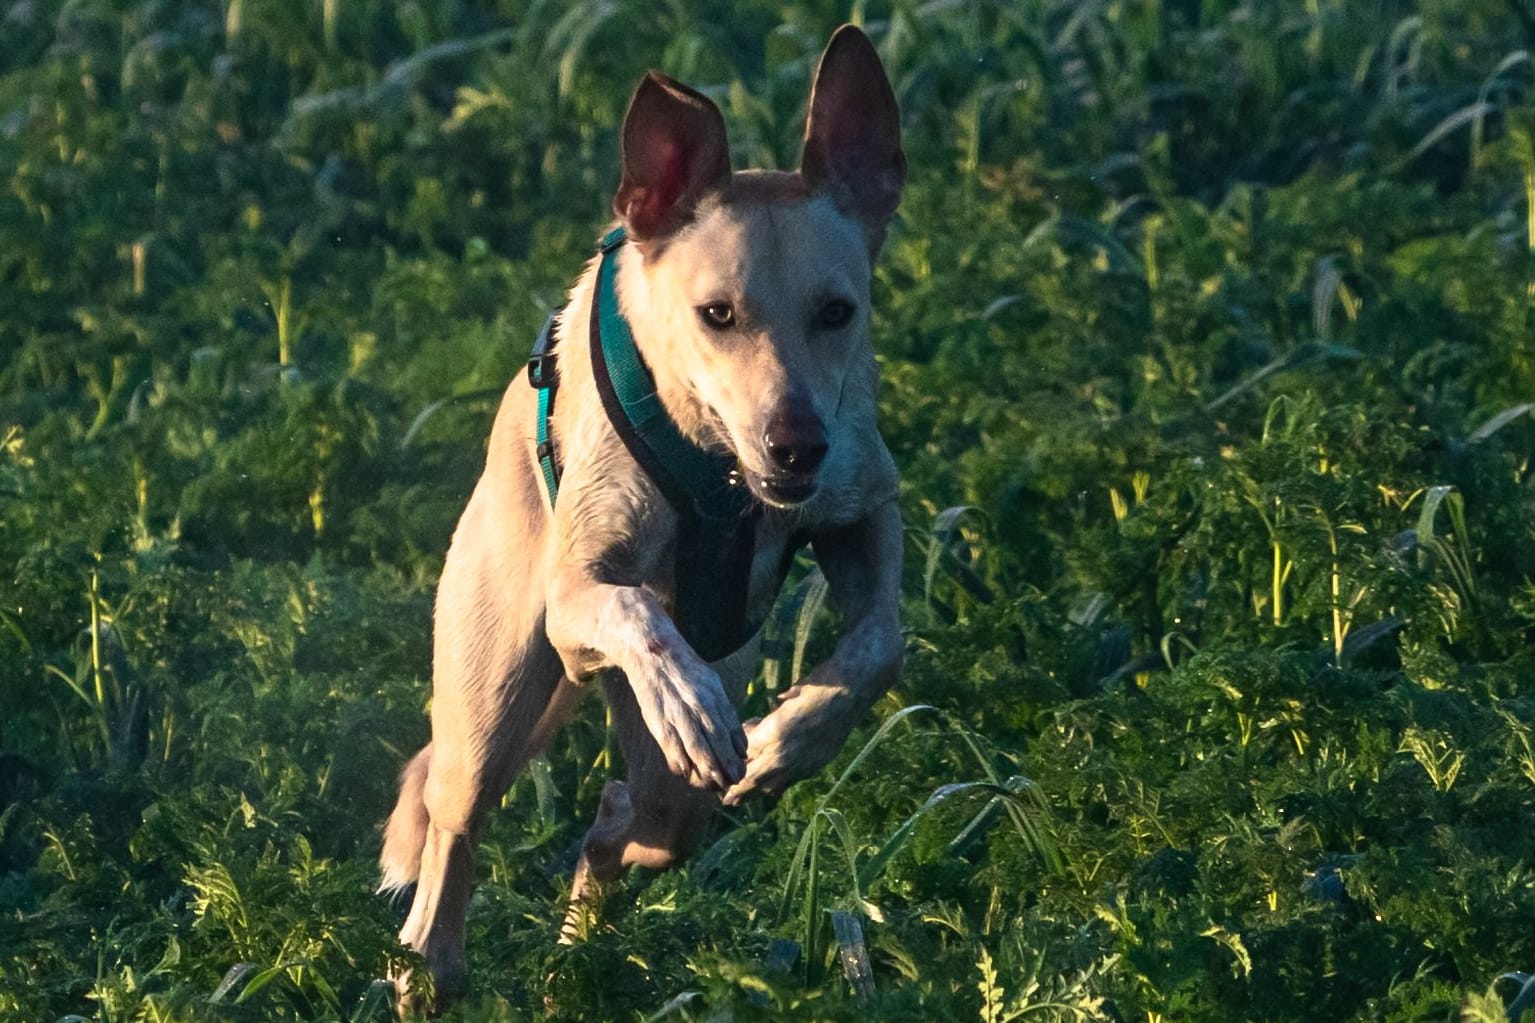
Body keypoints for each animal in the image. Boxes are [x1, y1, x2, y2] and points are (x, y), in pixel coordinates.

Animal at [382, 23, 902, 1001]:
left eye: (836, 311)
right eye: (717, 314)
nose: (795, 447)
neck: (721, 473)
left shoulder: (863, 501)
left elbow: (879, 646)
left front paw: (789, 740)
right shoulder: (578, 591)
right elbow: (629, 607)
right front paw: (687, 698)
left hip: (670, 798)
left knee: (628, 814)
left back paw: (580, 946)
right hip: (492, 695)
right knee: (452, 828)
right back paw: (430, 967)